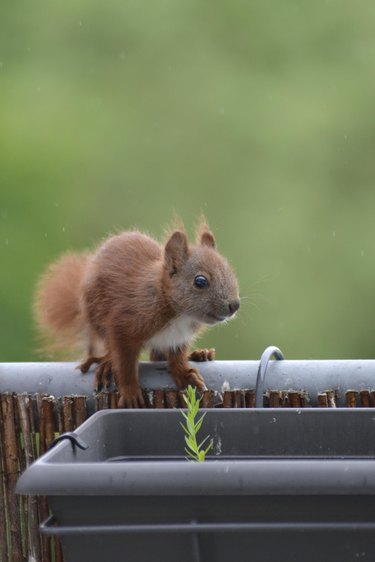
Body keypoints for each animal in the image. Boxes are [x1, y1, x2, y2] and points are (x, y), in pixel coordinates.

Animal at [35, 219, 241, 406]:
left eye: (230, 273)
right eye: (200, 281)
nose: (234, 305)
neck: (179, 314)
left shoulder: (178, 338)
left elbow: (176, 357)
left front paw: (183, 372)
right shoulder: (125, 323)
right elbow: (125, 363)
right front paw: (130, 392)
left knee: (156, 356)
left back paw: (199, 354)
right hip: (96, 317)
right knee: (112, 349)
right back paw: (106, 362)